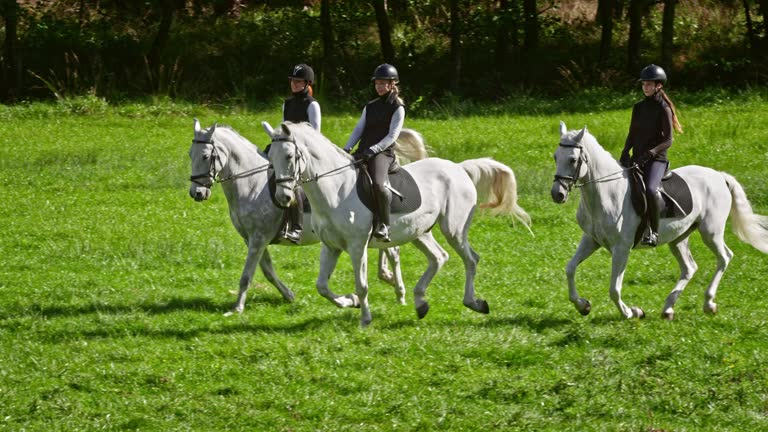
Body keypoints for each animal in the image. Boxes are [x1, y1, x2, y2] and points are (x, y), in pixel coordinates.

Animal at [185, 118, 426, 314]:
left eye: (205, 156)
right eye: (190, 155)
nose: (196, 193)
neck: (251, 185)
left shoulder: (259, 237)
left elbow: (247, 274)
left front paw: (237, 308)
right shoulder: (252, 238)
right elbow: (267, 270)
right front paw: (289, 295)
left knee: (393, 251)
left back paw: (399, 291)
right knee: (390, 249)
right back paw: (390, 281)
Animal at [260, 120, 532, 326]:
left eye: (289, 155)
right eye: (269, 156)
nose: (283, 197)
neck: (336, 190)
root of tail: (459, 168)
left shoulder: (357, 246)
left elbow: (362, 285)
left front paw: (365, 319)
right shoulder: (331, 246)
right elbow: (322, 286)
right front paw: (350, 301)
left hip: (453, 229)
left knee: (470, 259)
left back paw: (474, 302)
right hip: (419, 232)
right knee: (439, 257)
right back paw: (420, 302)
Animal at [552, 121, 768, 320]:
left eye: (573, 159)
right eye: (555, 156)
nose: (557, 194)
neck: (607, 192)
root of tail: (719, 176)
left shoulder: (621, 248)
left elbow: (614, 288)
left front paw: (631, 312)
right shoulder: (591, 240)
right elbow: (570, 269)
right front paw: (583, 305)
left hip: (711, 231)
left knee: (724, 257)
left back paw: (708, 303)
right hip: (679, 238)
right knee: (690, 268)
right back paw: (668, 308)